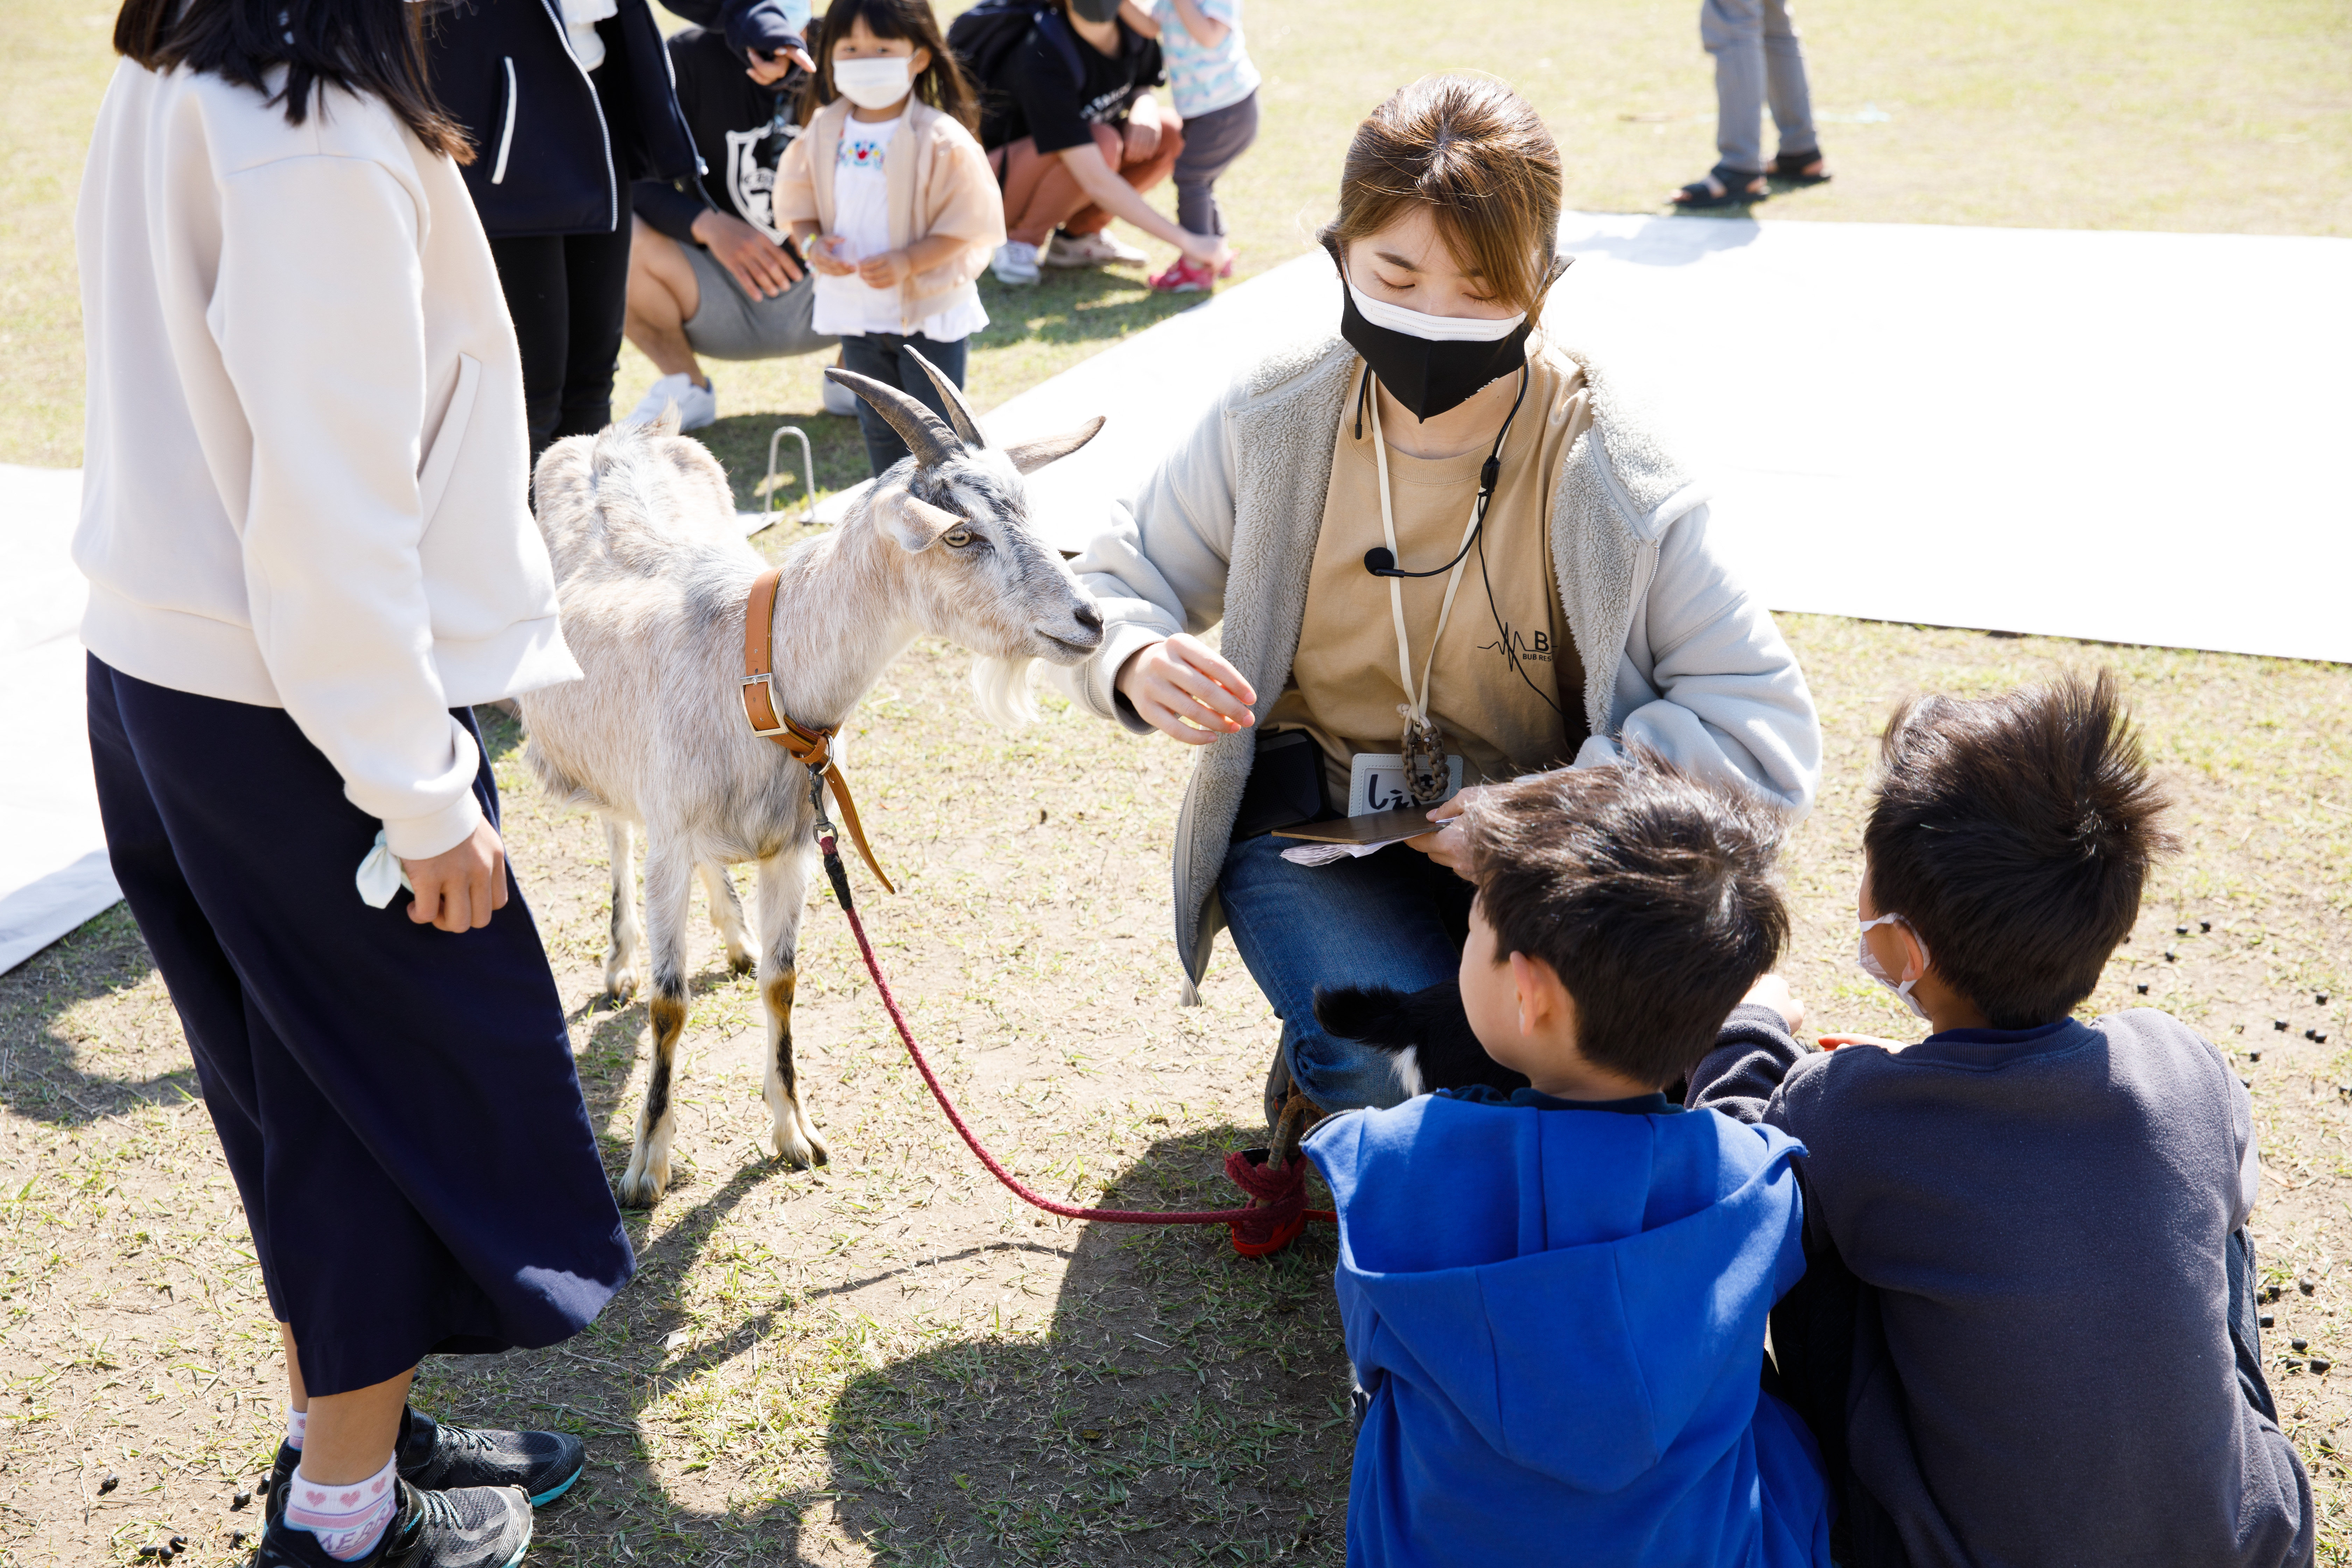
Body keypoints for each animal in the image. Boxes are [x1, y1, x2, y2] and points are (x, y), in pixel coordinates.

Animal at [520, 359, 1105, 1213]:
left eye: (1026, 508)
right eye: (961, 534)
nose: (1090, 618)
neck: (753, 662)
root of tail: (614, 436)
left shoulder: (794, 843)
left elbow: (783, 982)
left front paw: (794, 1133)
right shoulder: (671, 834)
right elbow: (669, 1002)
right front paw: (646, 1167)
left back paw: (733, 936)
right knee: (616, 830)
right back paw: (620, 961)